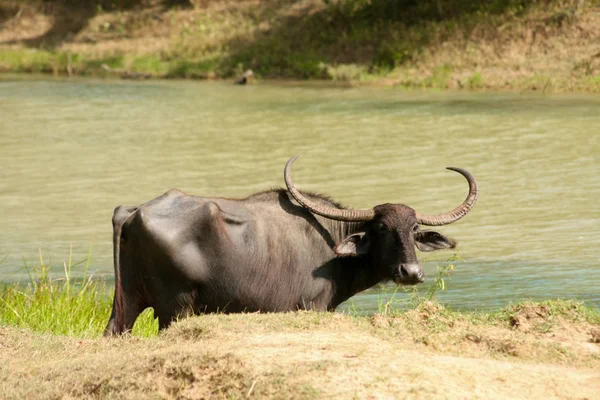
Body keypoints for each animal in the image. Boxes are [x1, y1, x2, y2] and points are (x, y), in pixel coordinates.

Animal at [103, 156, 478, 334]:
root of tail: (134, 211)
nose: (411, 272)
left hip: (128, 302)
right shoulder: (312, 307)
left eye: (414, 228)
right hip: (174, 306)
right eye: (383, 228)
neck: (333, 245)